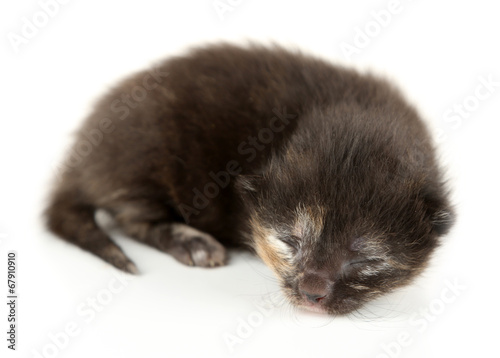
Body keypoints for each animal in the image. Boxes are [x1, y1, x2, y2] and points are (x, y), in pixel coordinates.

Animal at [45, 43, 456, 314]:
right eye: (290, 241)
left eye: (365, 256)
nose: (312, 293)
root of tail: (82, 156)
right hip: (142, 167)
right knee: (132, 220)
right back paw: (193, 242)